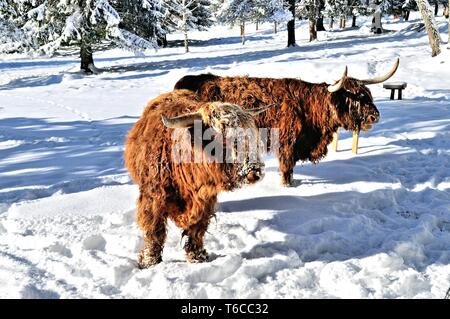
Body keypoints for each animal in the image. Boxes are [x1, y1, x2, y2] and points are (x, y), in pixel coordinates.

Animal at [125, 90, 268, 270]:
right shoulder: (153, 198)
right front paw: (149, 261)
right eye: (221, 136)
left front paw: (197, 256)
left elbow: (197, 229)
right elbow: (154, 230)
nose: (253, 170)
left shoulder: (204, 200)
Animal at [174, 58, 400, 186]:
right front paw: (288, 185)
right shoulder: (287, 143)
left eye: (368, 94)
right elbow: (287, 167)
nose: (374, 116)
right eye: (354, 98)